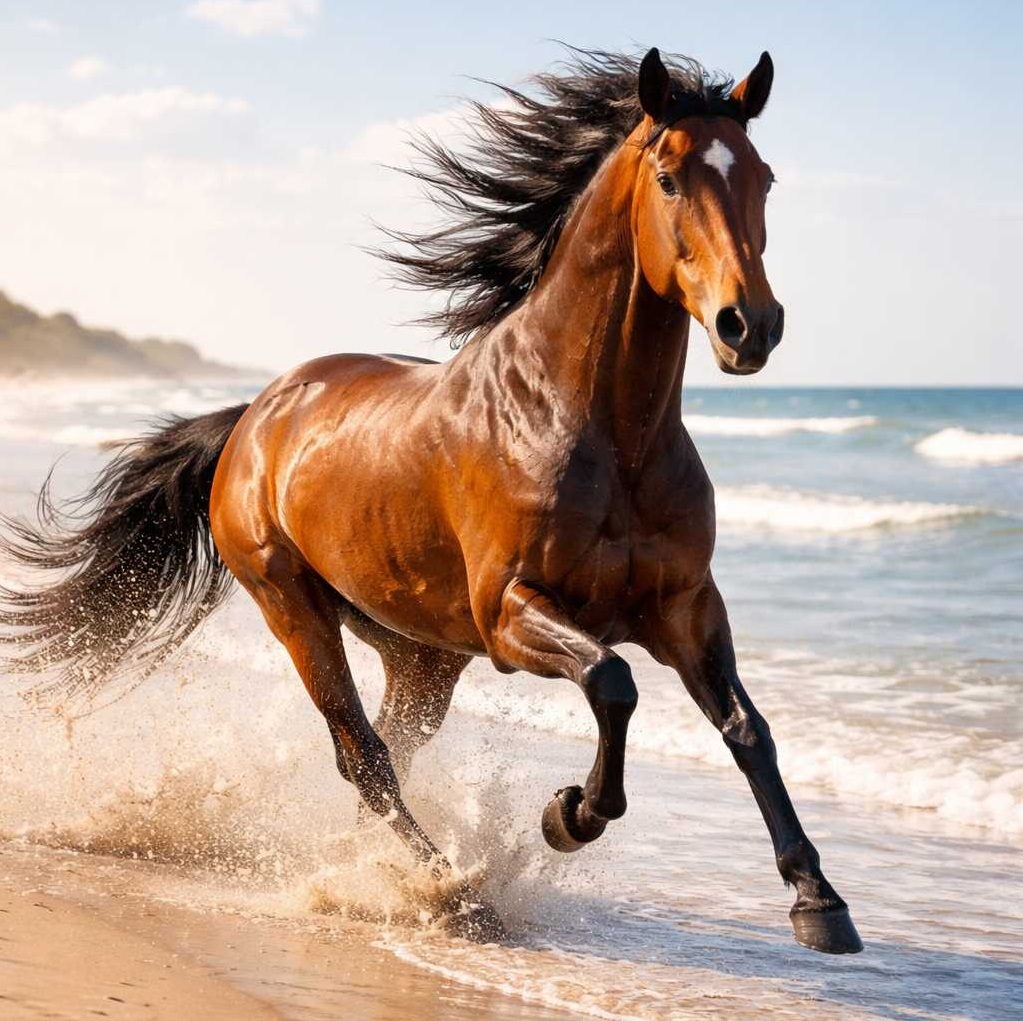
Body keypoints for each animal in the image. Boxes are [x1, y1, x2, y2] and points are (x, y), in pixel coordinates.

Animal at [0, 47, 862, 953]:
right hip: (293, 607)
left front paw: (819, 901)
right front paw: (569, 815)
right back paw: (451, 888)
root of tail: (253, 418)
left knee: (389, 755)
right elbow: (612, 680)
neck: (594, 428)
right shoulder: (512, 612)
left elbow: (747, 730)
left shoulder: (686, 608)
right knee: (364, 754)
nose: (748, 326)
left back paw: (382, 876)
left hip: (423, 654)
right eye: (668, 177)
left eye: (763, 177)